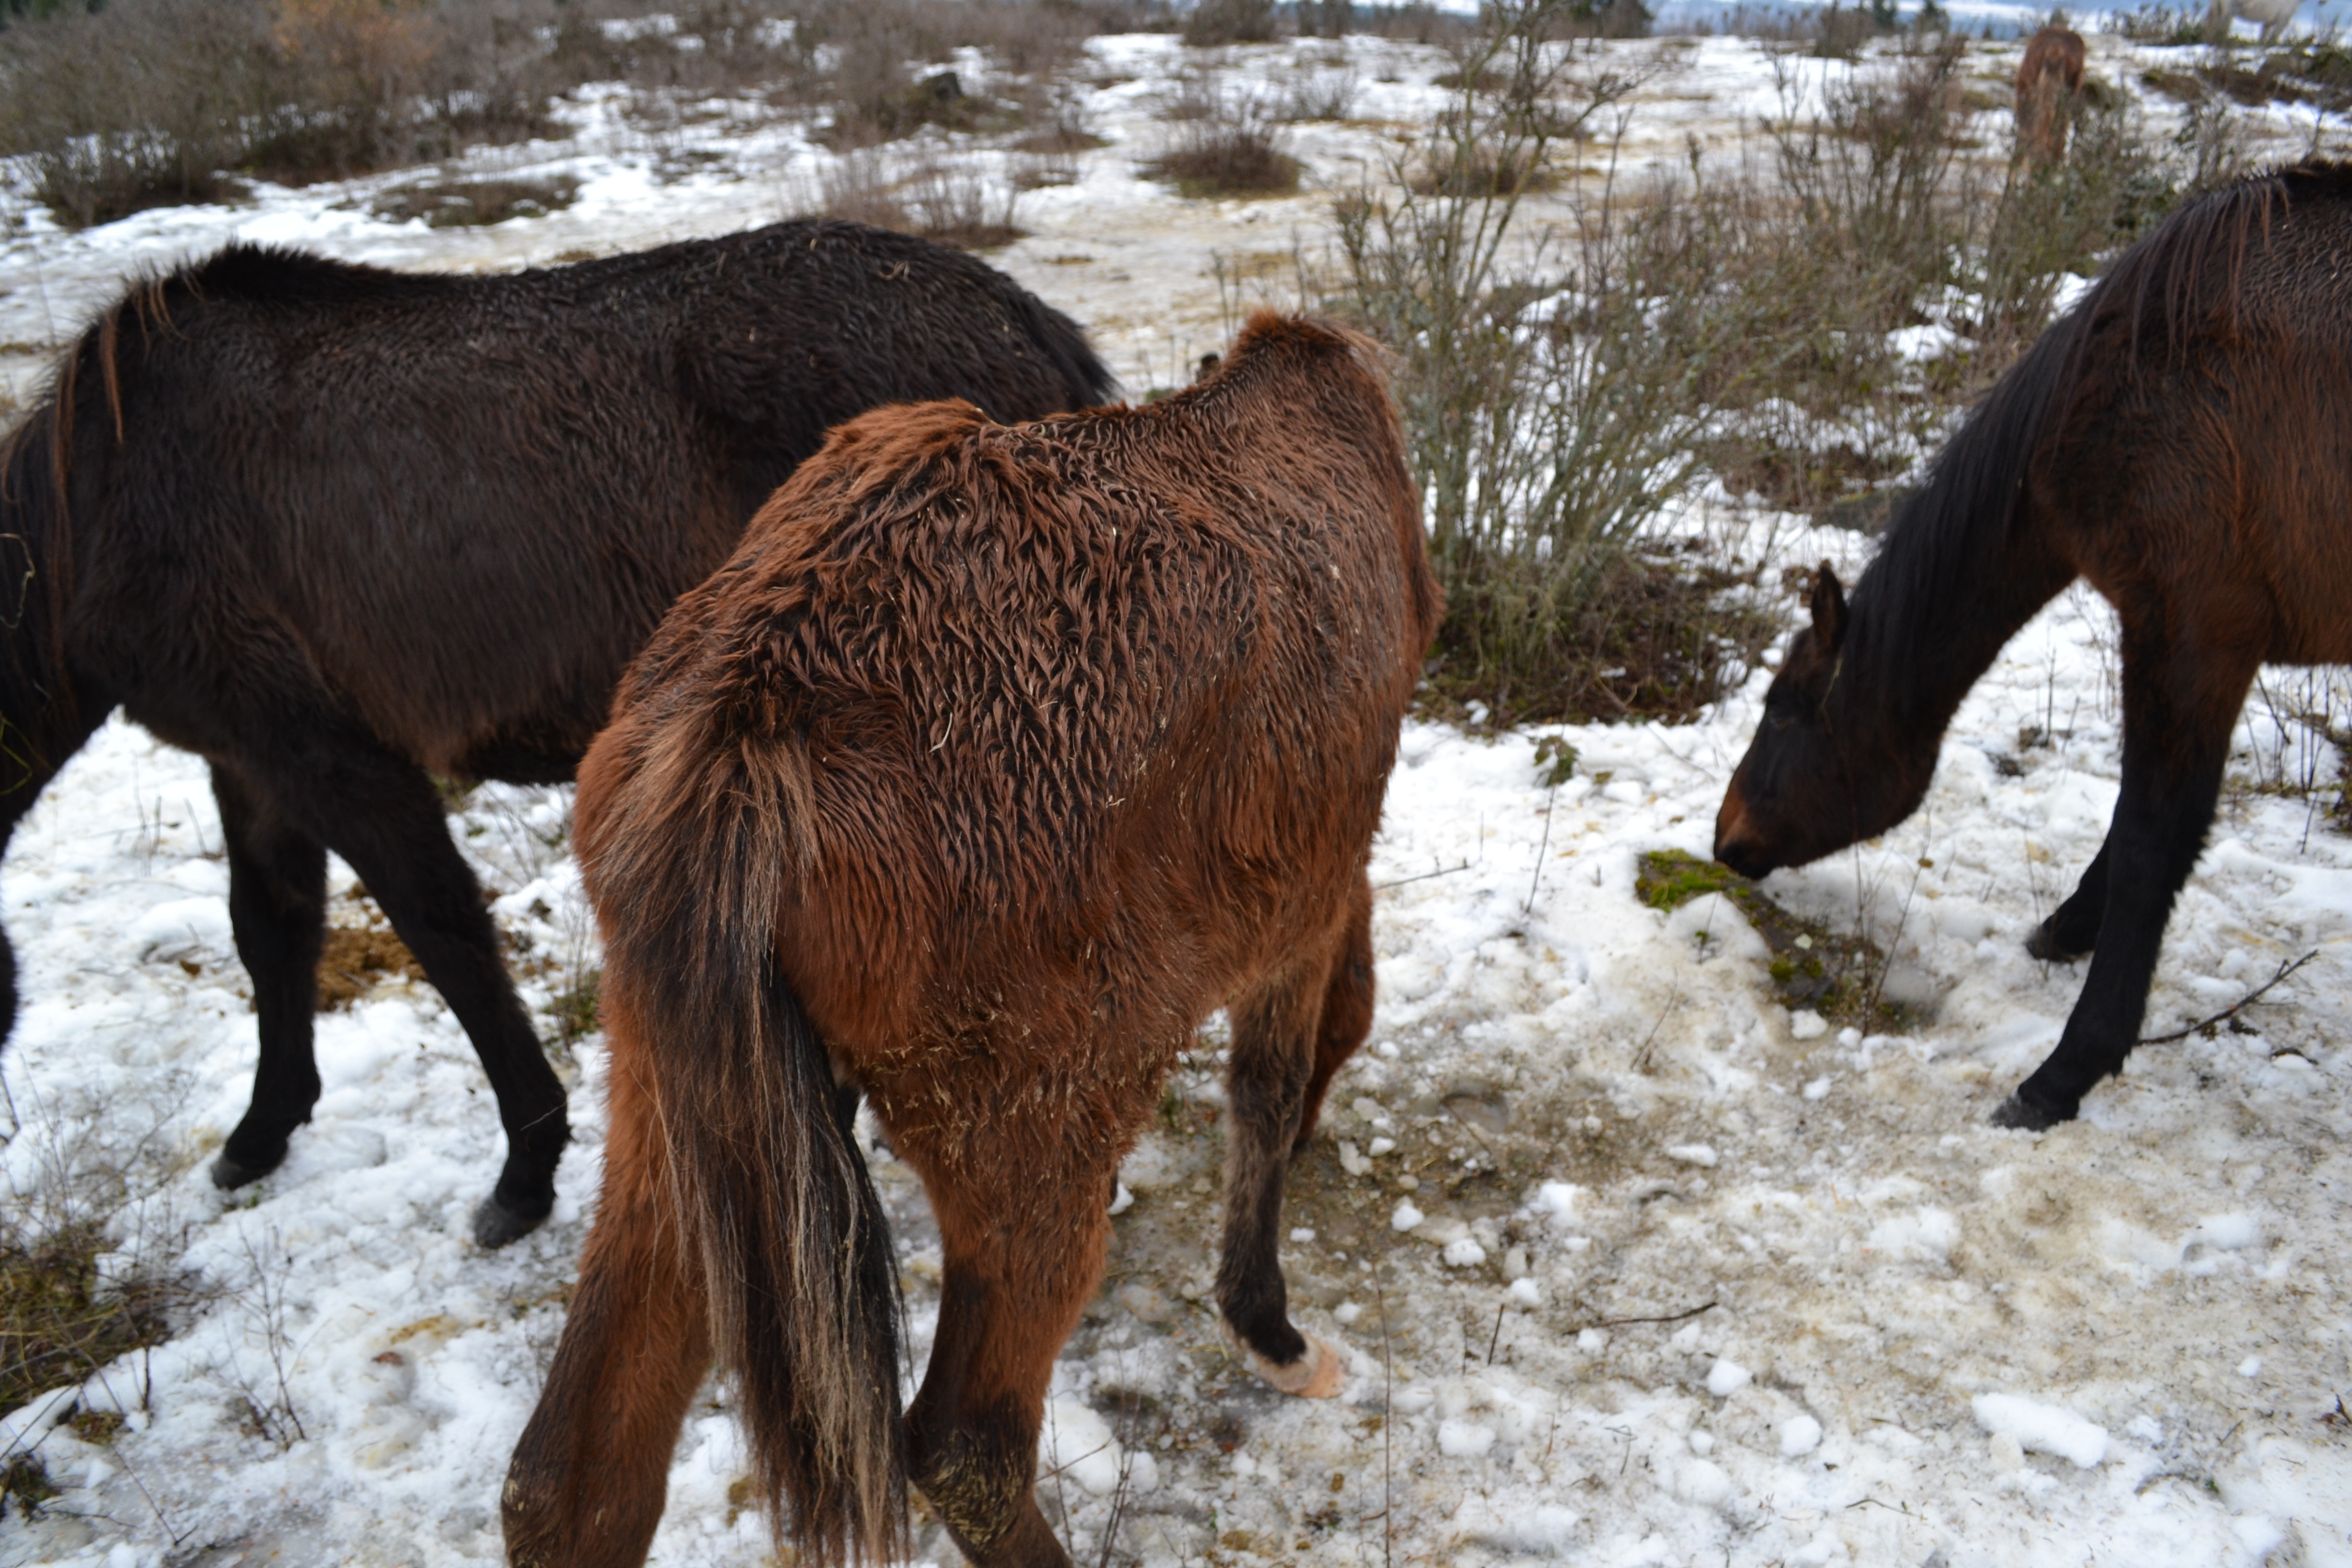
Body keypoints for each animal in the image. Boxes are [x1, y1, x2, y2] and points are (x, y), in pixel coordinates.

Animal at [0, 223, 1110, 1246]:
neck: (101, 495)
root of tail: (1025, 322)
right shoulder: (249, 764)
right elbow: (270, 932)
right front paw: (262, 1132)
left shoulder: (331, 758)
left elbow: (447, 937)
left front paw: (525, 1170)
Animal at [501, 312, 1439, 1568]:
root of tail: (744, 737)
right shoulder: (1309, 902)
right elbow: (1270, 1086)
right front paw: (1269, 1328)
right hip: (1034, 1126)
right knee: (964, 1447)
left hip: (682, 1113)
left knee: (571, 1483)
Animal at [1715, 159, 2352, 1133]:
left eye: (1783, 713)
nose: (1724, 834)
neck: (2139, 374)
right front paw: (2064, 929)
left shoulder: (2191, 632)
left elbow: (2152, 839)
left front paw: (2064, 1071)